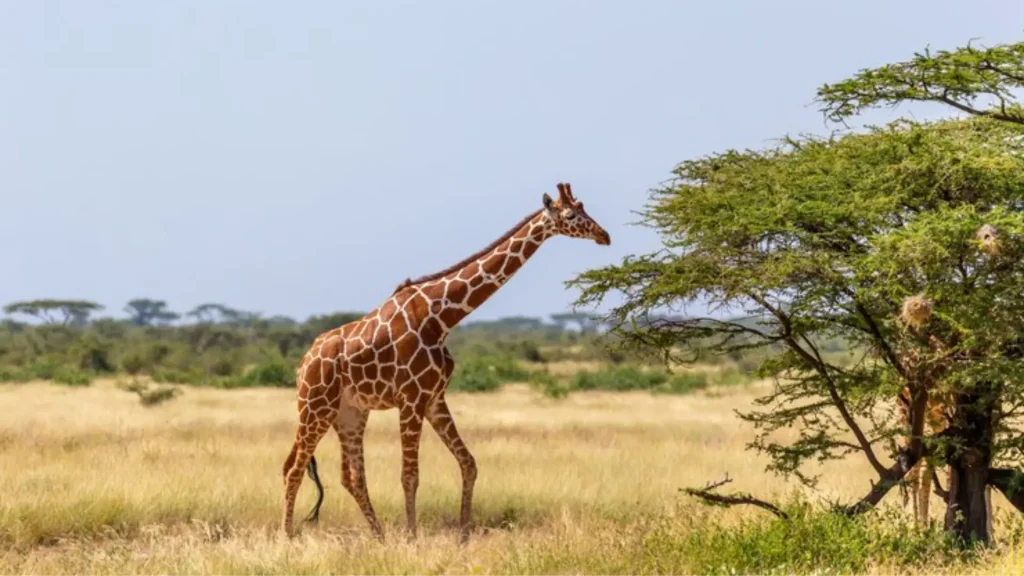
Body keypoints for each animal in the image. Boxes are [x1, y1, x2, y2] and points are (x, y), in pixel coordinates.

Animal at [280, 182, 611, 542]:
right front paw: (412, 537)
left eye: (584, 207)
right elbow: (410, 475)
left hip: (350, 413)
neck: (441, 318)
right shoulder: (410, 399)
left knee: (350, 476)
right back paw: (288, 536)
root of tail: (302, 365)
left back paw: (379, 536)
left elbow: (468, 462)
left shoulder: (434, 398)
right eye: (571, 215)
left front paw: (464, 533)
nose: (604, 235)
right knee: (293, 467)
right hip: (315, 407)